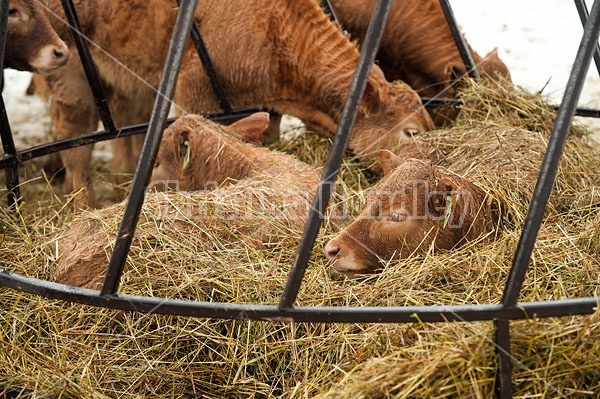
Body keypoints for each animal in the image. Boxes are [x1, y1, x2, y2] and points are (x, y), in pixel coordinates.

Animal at [36, 0, 432, 211]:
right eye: (410, 132)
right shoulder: (194, 95)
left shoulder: (267, 108)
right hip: (69, 68)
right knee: (75, 139)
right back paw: (83, 205)